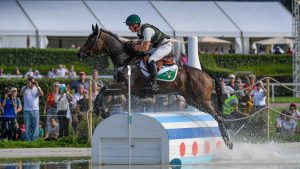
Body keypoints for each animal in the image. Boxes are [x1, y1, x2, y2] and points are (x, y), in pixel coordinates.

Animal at [76, 24, 233, 149]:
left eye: (91, 40)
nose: (79, 54)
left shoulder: (125, 87)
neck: (126, 60)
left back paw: (228, 141)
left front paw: (101, 110)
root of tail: (206, 74)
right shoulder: (122, 87)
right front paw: (102, 110)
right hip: (193, 100)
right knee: (215, 115)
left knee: (218, 116)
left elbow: (104, 89)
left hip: (202, 100)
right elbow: (103, 90)